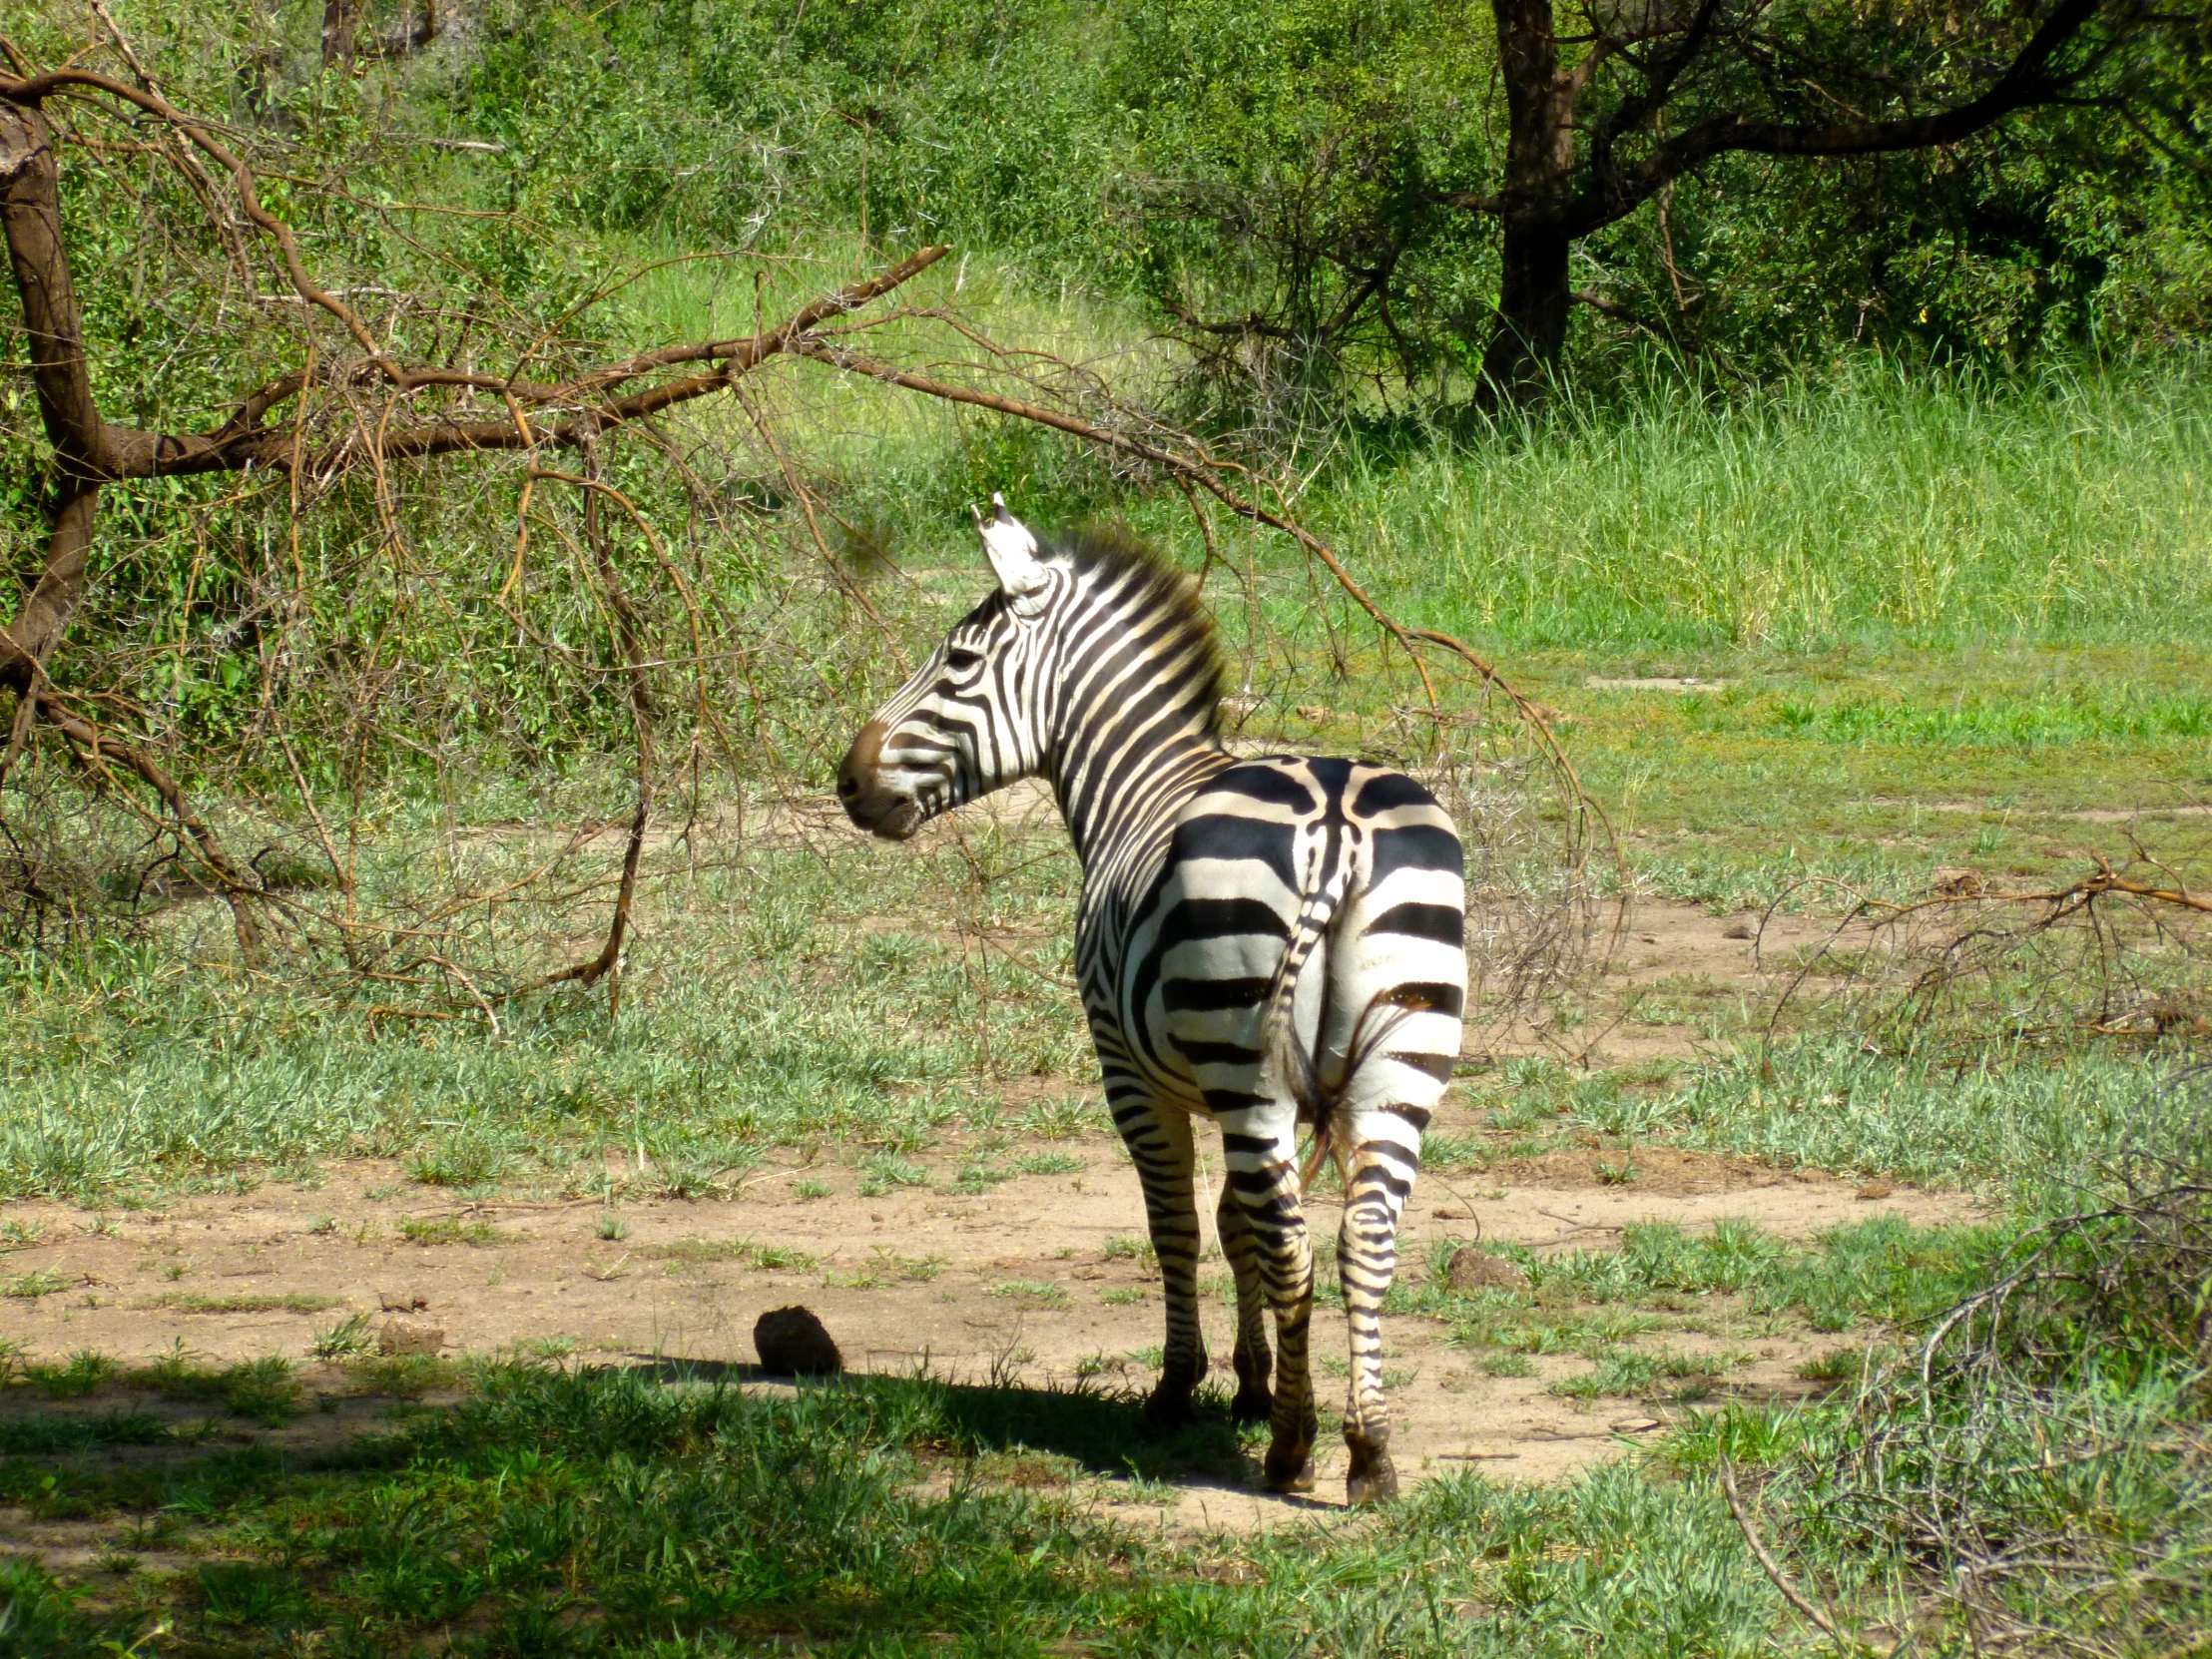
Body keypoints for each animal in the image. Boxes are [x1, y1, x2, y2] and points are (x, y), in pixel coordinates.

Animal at [840, 497, 1468, 1503]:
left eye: (959, 661)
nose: (848, 780)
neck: (1138, 786)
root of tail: (1336, 823)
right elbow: (1233, 1222)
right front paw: (1253, 1383)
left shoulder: (1128, 1069)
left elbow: (1176, 1222)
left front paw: (1183, 1390)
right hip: (1397, 1061)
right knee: (1361, 1240)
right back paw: (1368, 1451)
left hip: (1250, 1061)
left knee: (1294, 1242)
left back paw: (1293, 1450)